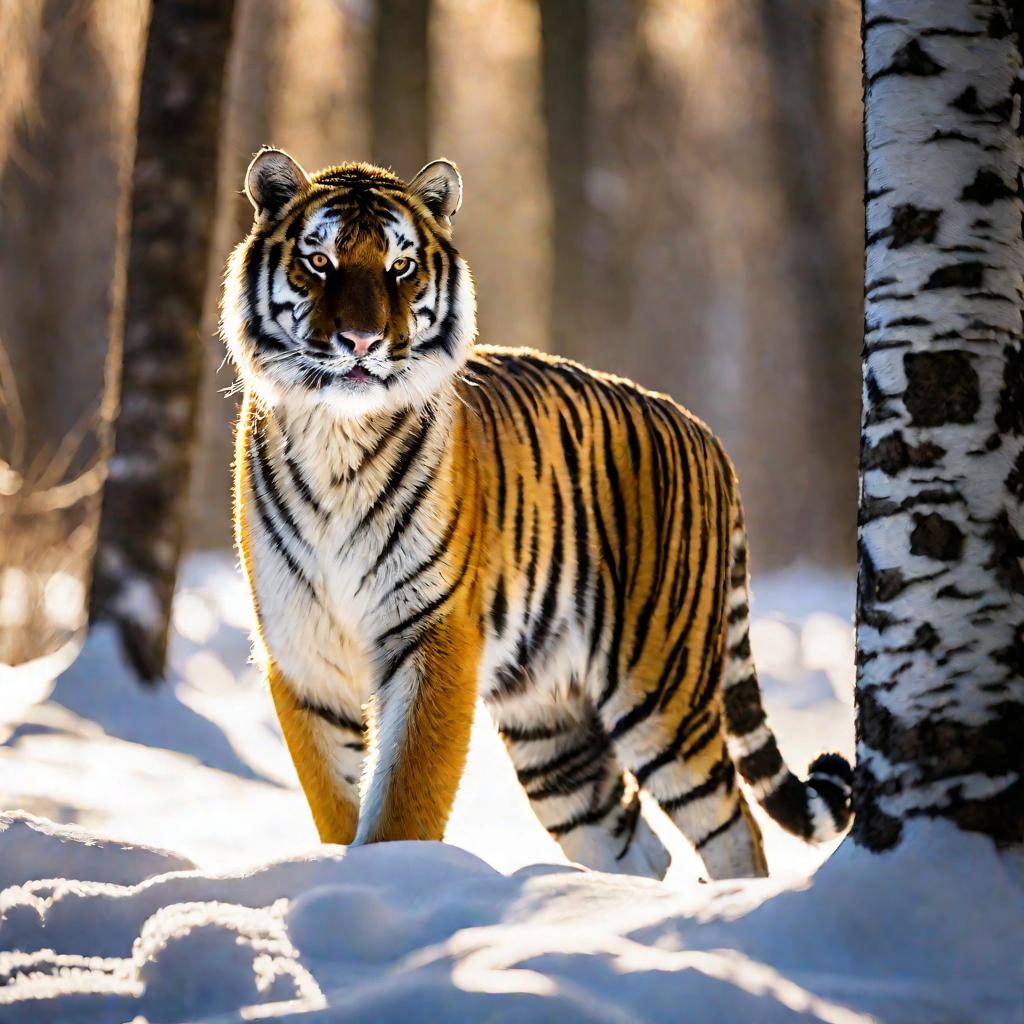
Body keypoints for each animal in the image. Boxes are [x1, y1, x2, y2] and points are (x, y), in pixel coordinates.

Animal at [224, 146, 856, 880]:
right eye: (320, 261)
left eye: (400, 267)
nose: (360, 340)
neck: (337, 438)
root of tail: (706, 434)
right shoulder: (303, 655)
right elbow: (334, 806)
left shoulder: (432, 635)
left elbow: (405, 802)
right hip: (551, 725)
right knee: (633, 842)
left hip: (659, 692)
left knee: (733, 825)